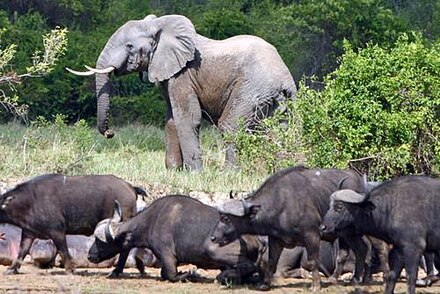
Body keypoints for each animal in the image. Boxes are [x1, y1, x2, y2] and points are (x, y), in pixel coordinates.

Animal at [0, 173, 148, 274]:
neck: (30, 202)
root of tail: (130, 186)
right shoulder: (29, 233)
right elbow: (22, 251)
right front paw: (12, 269)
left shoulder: (57, 231)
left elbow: (64, 250)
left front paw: (70, 269)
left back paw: (117, 270)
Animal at [68, 14, 296, 170]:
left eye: (129, 46)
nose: (110, 133)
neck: (161, 26)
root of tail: (287, 78)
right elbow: (171, 120)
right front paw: (173, 171)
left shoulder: (183, 75)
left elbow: (187, 118)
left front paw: (195, 173)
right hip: (274, 98)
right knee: (277, 130)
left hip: (252, 87)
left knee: (231, 126)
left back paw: (230, 172)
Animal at [87, 195, 262, 282]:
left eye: (99, 241)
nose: (90, 255)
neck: (152, 220)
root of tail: (257, 240)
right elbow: (164, 274)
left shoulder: (167, 255)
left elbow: (171, 275)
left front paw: (190, 274)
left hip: (213, 250)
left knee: (252, 266)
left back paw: (225, 276)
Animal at [211, 167, 370, 290]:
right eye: (220, 216)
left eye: (226, 219)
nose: (213, 237)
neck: (282, 204)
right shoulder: (275, 239)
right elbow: (272, 261)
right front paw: (265, 284)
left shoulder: (312, 235)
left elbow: (313, 261)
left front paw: (315, 285)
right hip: (345, 234)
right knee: (351, 252)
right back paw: (342, 278)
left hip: (352, 231)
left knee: (362, 248)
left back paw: (357, 278)